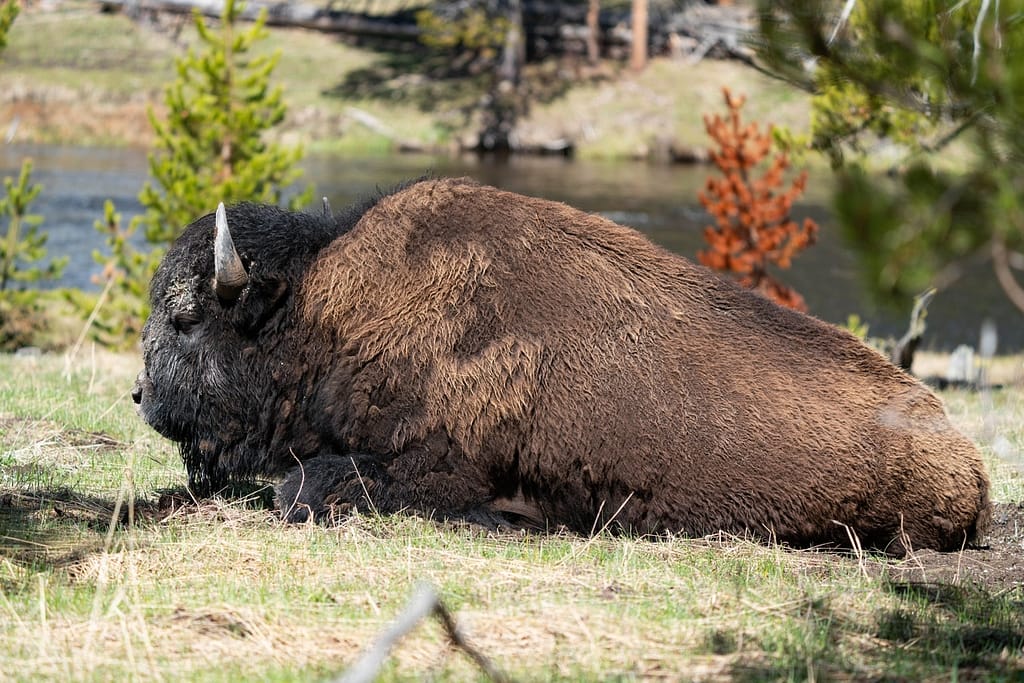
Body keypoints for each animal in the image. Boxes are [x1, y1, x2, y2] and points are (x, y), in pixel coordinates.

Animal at [132, 178, 987, 557]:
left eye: (185, 316)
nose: (140, 394)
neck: (324, 306)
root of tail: (966, 452)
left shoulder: (425, 467)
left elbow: (299, 489)